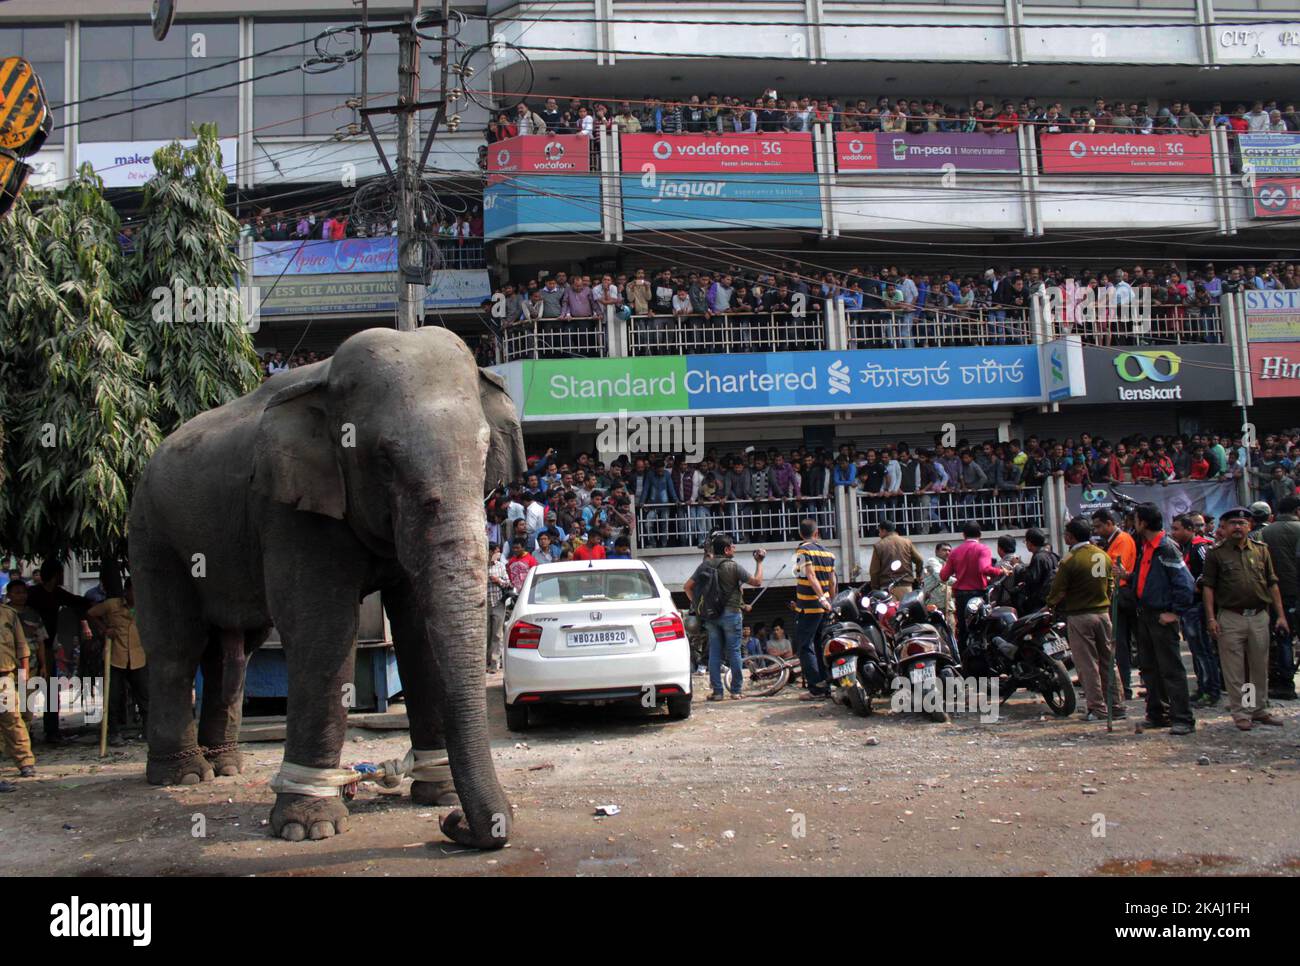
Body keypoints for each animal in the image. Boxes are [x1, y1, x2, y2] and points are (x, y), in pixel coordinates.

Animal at [127, 327, 526, 848]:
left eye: (483, 456)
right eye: (384, 461)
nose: (453, 824)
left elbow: (418, 631)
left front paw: (436, 795)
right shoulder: (289, 507)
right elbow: (324, 630)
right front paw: (308, 827)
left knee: (234, 652)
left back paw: (226, 765)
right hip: (152, 534)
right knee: (177, 646)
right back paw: (184, 776)